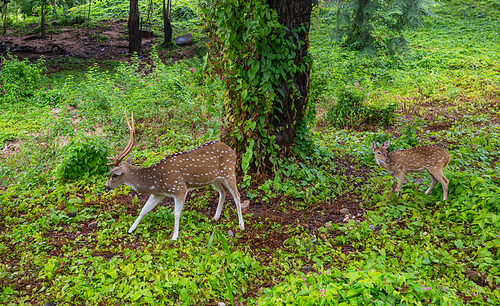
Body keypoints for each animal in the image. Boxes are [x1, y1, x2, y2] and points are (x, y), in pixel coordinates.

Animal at [104, 111, 245, 240]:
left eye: (114, 175)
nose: (105, 187)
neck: (156, 180)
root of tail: (233, 151)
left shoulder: (179, 189)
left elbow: (176, 213)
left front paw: (175, 236)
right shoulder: (158, 194)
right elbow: (144, 209)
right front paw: (131, 229)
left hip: (229, 171)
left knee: (237, 195)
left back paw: (241, 225)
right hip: (215, 178)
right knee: (223, 191)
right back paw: (215, 217)